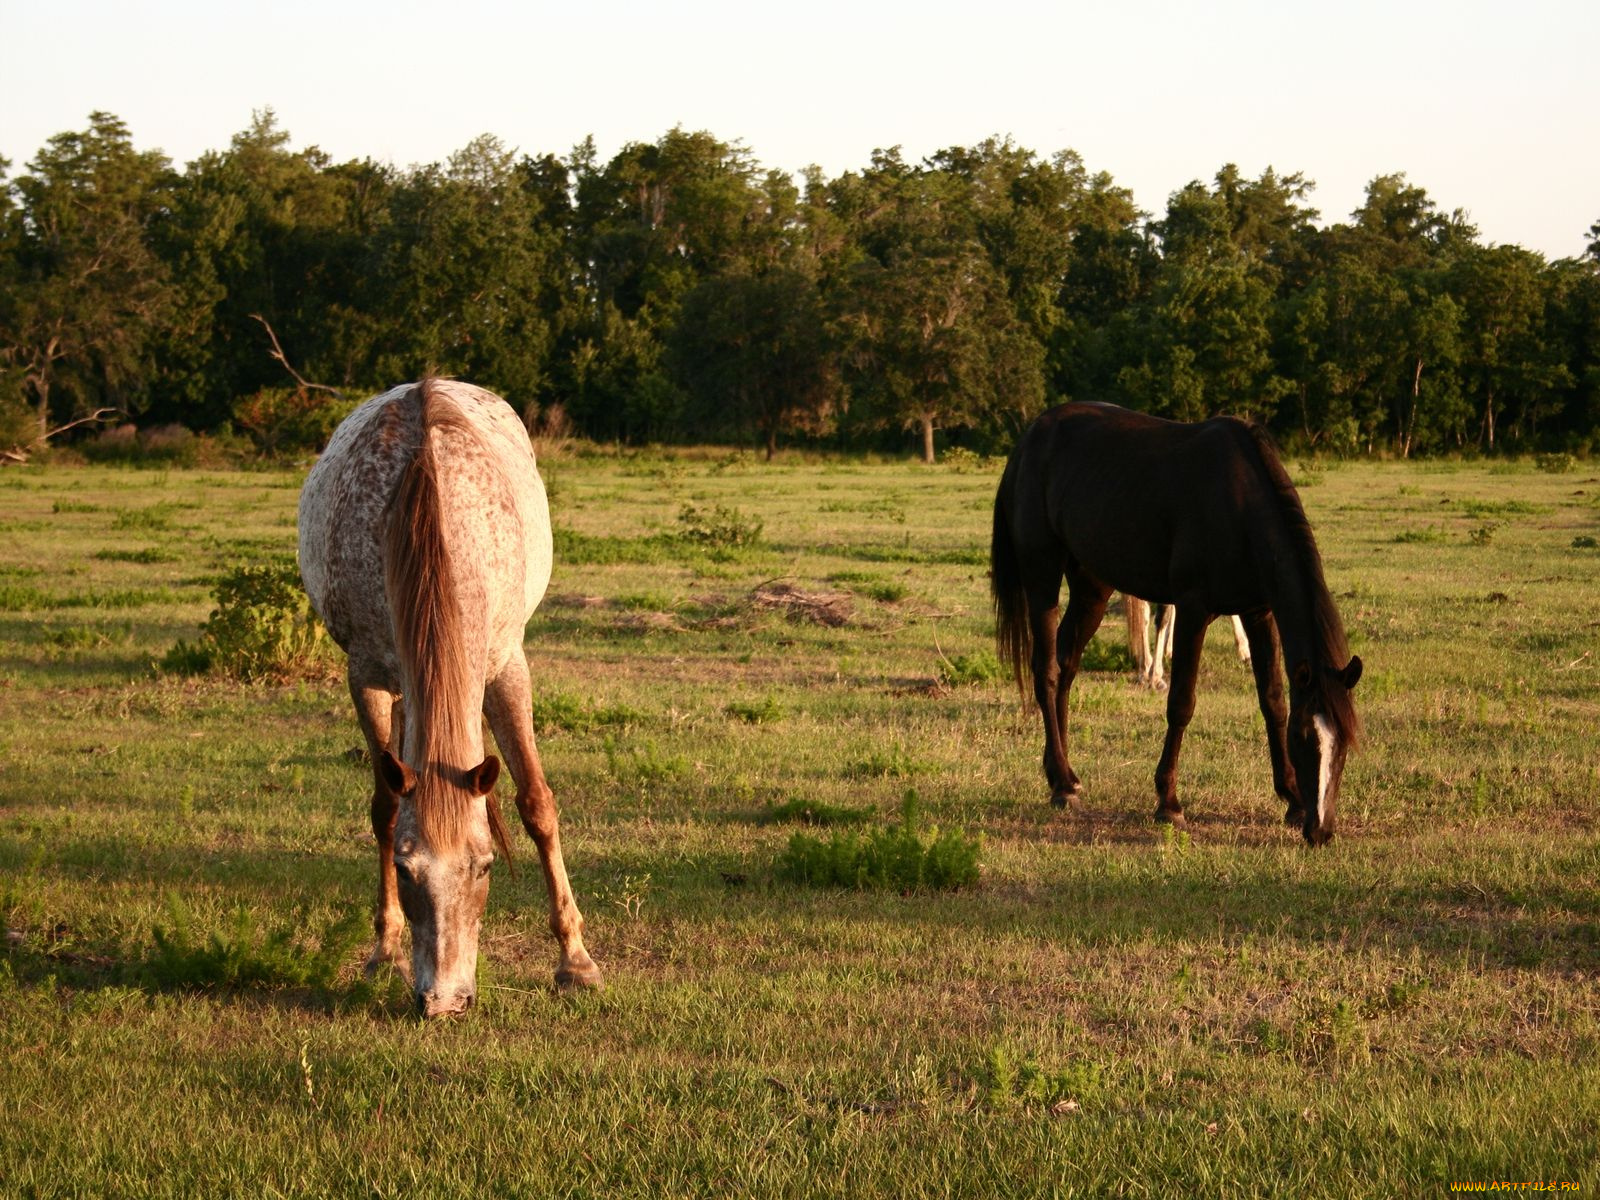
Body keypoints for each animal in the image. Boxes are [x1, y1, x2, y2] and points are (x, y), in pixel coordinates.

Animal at [297, 380, 601, 1017]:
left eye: (483, 868)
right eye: (406, 870)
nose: (443, 1001)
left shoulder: (507, 665)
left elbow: (537, 804)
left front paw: (576, 960)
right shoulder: (365, 674)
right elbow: (386, 808)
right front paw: (383, 950)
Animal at [992, 404, 1356, 844]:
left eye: (1345, 742)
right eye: (1304, 738)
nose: (1321, 830)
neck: (1238, 504)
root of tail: (1028, 439)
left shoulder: (1258, 612)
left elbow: (1273, 700)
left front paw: (1291, 798)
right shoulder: (1193, 610)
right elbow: (1182, 703)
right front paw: (1169, 803)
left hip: (1092, 587)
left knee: (1066, 665)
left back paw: (1062, 774)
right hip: (1041, 574)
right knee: (1045, 669)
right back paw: (1062, 784)